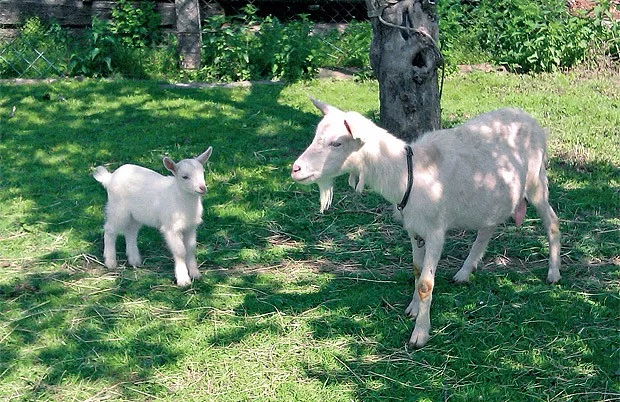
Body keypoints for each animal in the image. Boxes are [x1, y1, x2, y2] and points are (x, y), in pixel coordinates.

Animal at [94, 148, 213, 286]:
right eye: (185, 177)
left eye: (202, 172)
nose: (202, 188)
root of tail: (110, 178)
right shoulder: (170, 228)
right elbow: (180, 251)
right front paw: (183, 280)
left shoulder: (190, 226)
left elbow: (190, 248)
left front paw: (195, 274)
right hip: (117, 208)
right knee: (110, 230)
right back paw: (110, 262)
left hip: (135, 215)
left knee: (130, 231)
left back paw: (134, 260)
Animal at [292, 99, 560, 348]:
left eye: (336, 143)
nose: (296, 169)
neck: (408, 173)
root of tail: (529, 118)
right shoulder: (414, 229)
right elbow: (416, 269)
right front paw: (413, 309)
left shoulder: (435, 232)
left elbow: (425, 283)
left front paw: (419, 334)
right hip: (493, 196)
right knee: (487, 228)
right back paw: (464, 272)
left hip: (536, 181)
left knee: (552, 223)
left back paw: (553, 273)